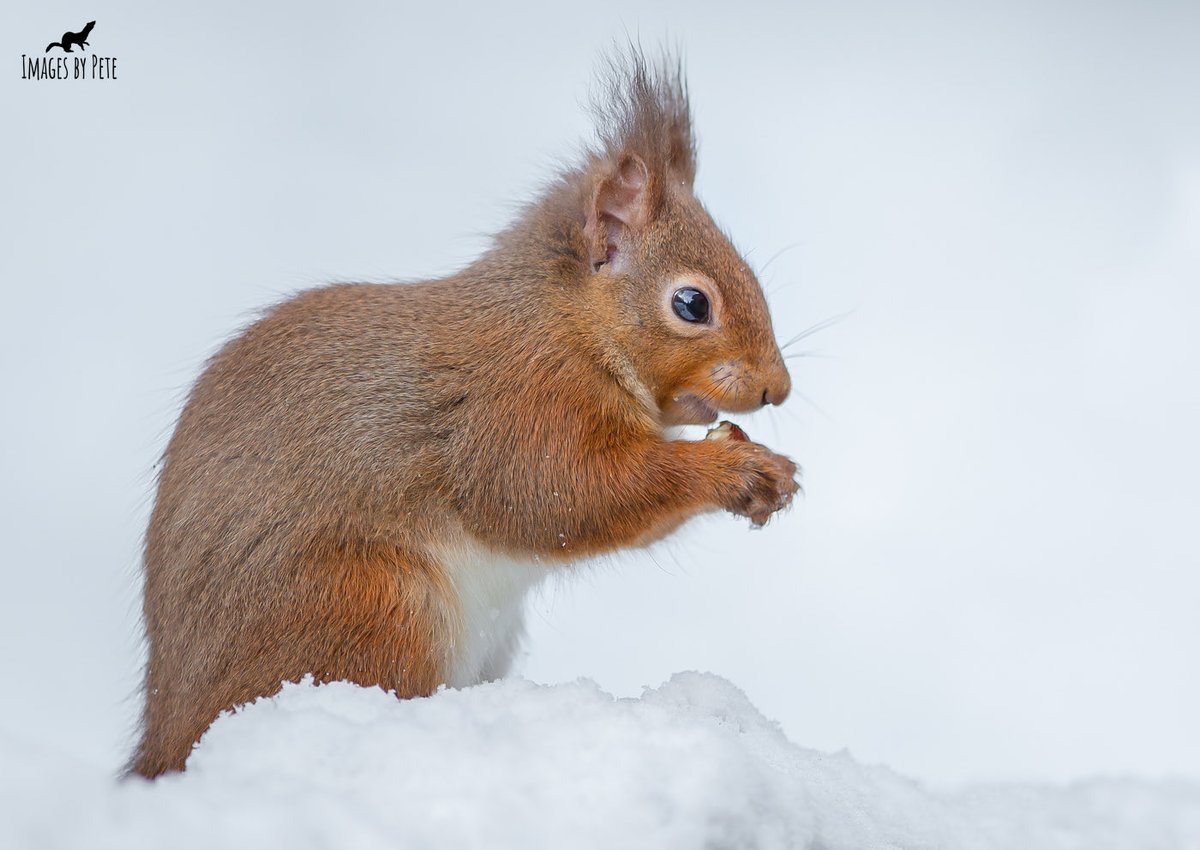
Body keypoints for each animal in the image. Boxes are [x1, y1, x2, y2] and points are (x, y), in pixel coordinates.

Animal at [133, 51, 796, 777]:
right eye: (691, 304)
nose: (779, 388)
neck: (569, 323)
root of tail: (167, 730)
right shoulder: (521, 403)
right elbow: (564, 496)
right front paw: (735, 468)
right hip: (374, 607)